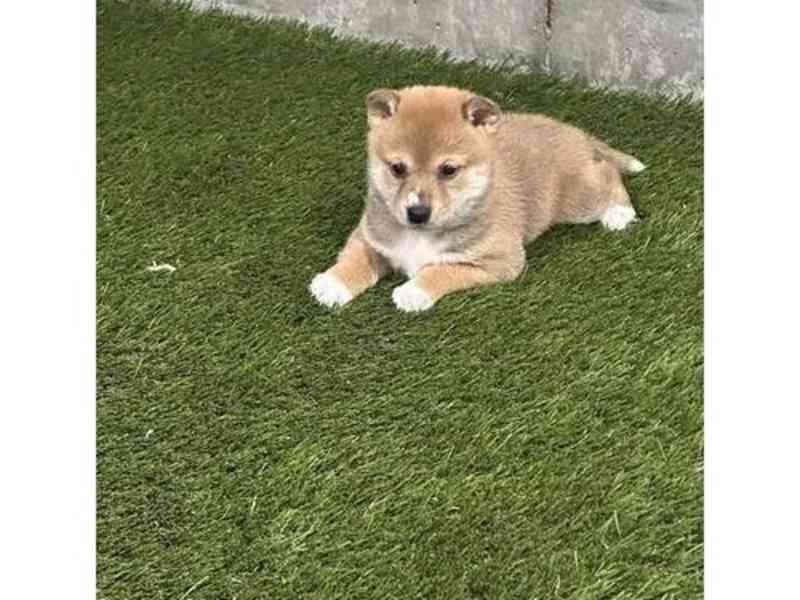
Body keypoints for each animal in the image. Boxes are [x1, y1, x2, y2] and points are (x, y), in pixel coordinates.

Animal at [308, 86, 644, 312]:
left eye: (448, 170)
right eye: (397, 168)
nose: (417, 212)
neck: (420, 235)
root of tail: (574, 132)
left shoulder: (497, 263)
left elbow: (441, 270)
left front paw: (414, 291)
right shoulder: (369, 238)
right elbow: (354, 260)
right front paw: (333, 283)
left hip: (579, 200)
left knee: (608, 173)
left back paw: (619, 213)